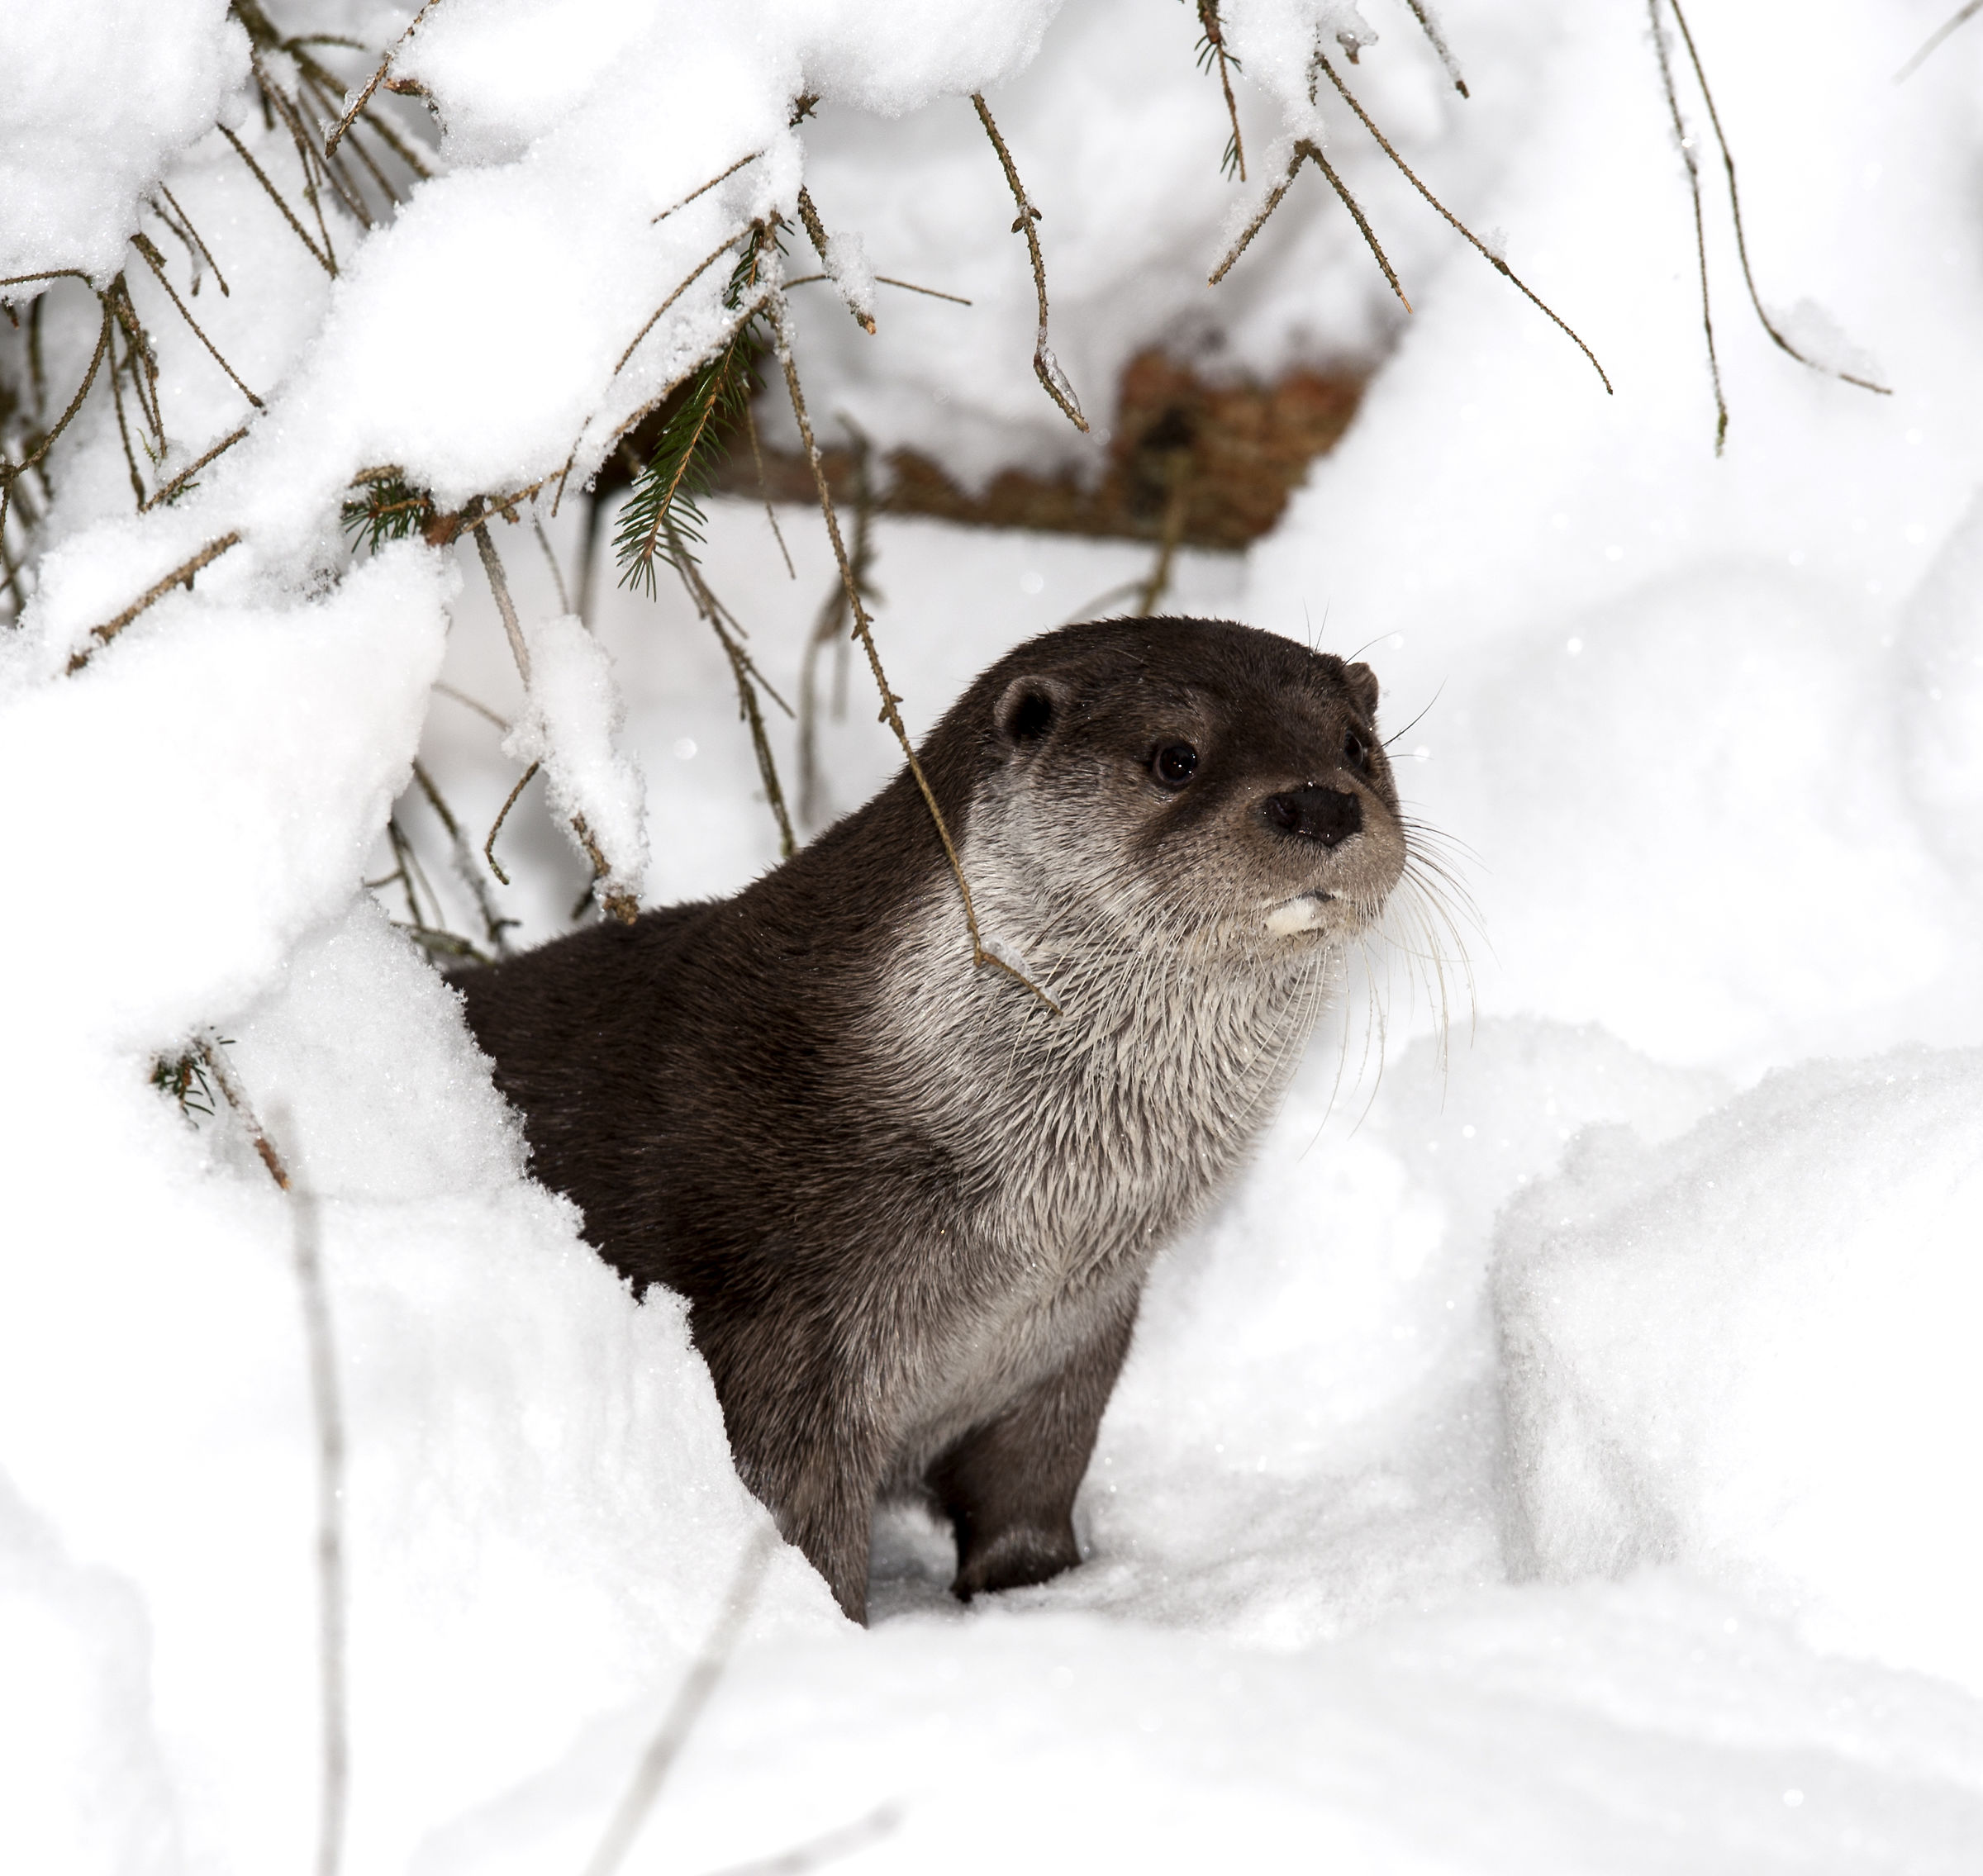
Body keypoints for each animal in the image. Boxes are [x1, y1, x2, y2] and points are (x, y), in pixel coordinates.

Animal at [455, 617, 1408, 1622]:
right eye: (1176, 758)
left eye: (1356, 746)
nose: (1320, 804)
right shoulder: (782, 1328)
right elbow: (799, 1520)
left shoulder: (1071, 1342)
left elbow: (1030, 1489)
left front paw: (1034, 1591)